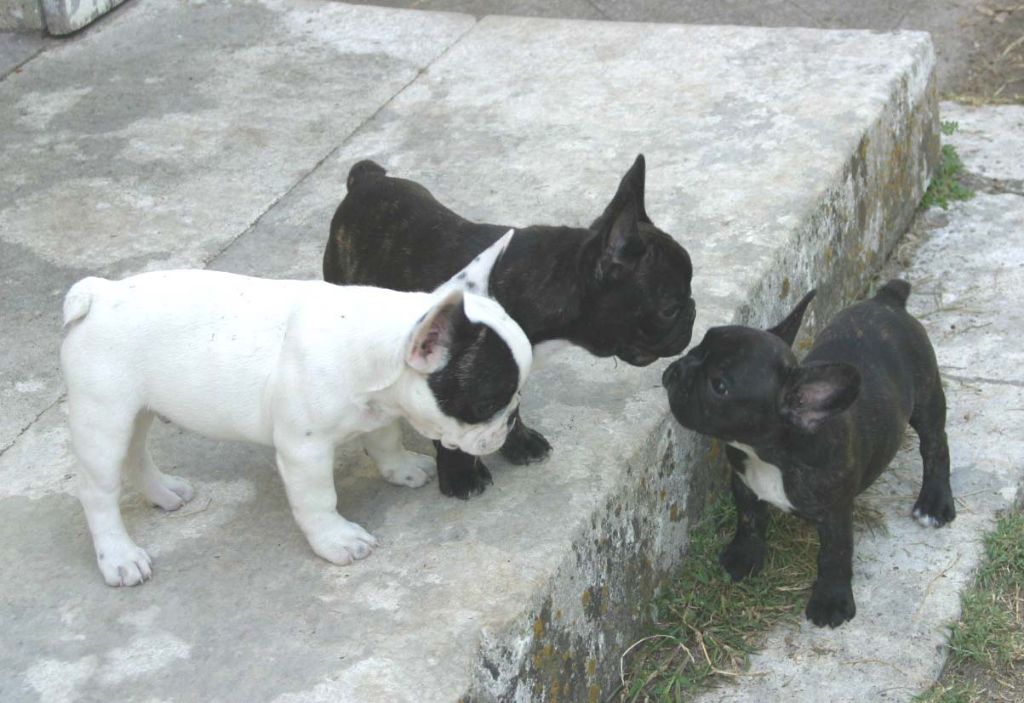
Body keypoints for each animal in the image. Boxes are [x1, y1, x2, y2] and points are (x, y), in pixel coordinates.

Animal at [325, 156, 696, 501]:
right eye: (669, 309)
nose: (693, 311)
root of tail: (366, 178)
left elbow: (511, 408)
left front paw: (519, 443)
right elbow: (449, 429)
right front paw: (460, 474)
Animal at [659, 280, 954, 626]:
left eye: (719, 386)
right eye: (698, 348)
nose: (677, 370)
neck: (773, 453)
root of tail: (887, 299)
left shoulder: (835, 512)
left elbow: (834, 554)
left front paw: (831, 600)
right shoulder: (744, 482)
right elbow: (749, 520)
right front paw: (744, 556)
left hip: (927, 397)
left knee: (935, 446)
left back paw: (934, 502)